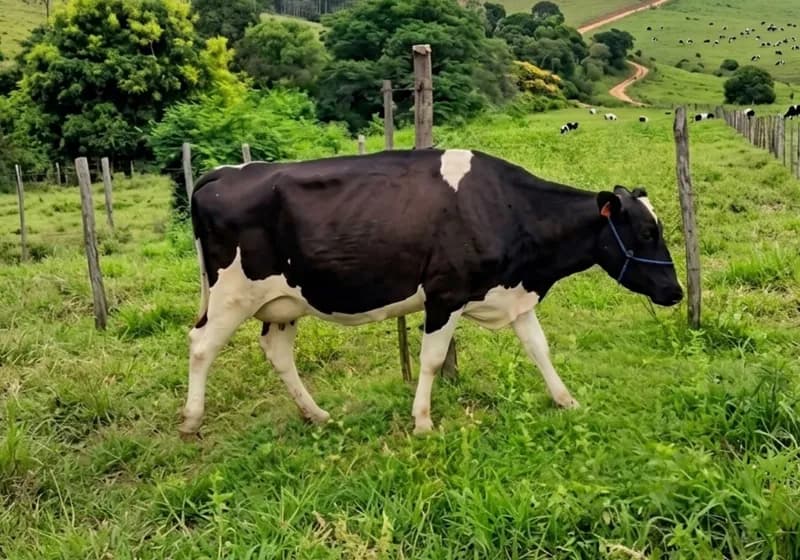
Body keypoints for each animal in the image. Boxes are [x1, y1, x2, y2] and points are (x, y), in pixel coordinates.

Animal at [176, 149, 683, 437]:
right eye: (645, 232)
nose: (676, 291)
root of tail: (222, 173)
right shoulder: (446, 294)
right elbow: (433, 359)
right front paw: (422, 422)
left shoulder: (515, 293)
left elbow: (539, 348)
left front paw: (567, 401)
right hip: (231, 293)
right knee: (200, 344)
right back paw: (191, 421)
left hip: (283, 301)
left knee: (277, 351)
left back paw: (317, 416)